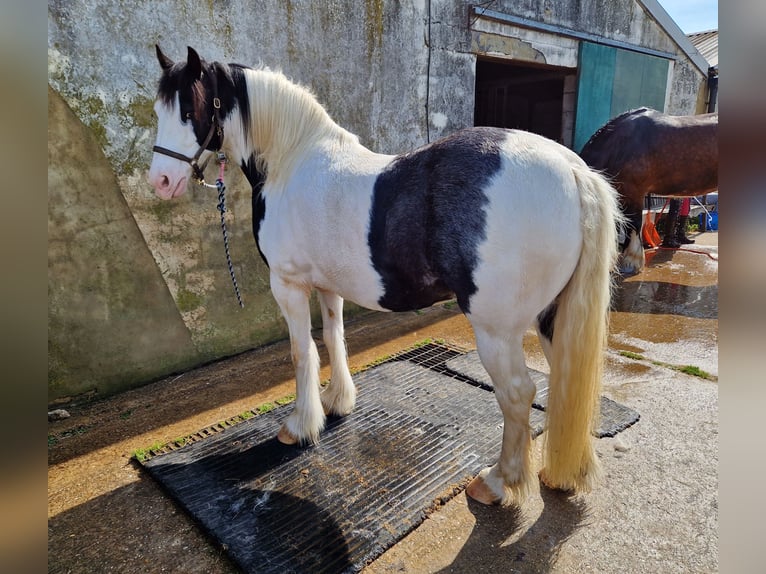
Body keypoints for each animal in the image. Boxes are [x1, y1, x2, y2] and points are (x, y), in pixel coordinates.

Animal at [148, 46, 624, 508]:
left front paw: (299, 426)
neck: (293, 162)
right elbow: (333, 338)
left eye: (188, 109)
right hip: (551, 317)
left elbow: (302, 354)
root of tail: (572, 169)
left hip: (497, 331)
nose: (161, 181)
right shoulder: (327, 286)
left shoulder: (288, 285)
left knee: (520, 395)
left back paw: (496, 482)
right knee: (564, 385)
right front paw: (336, 402)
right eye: (158, 109)